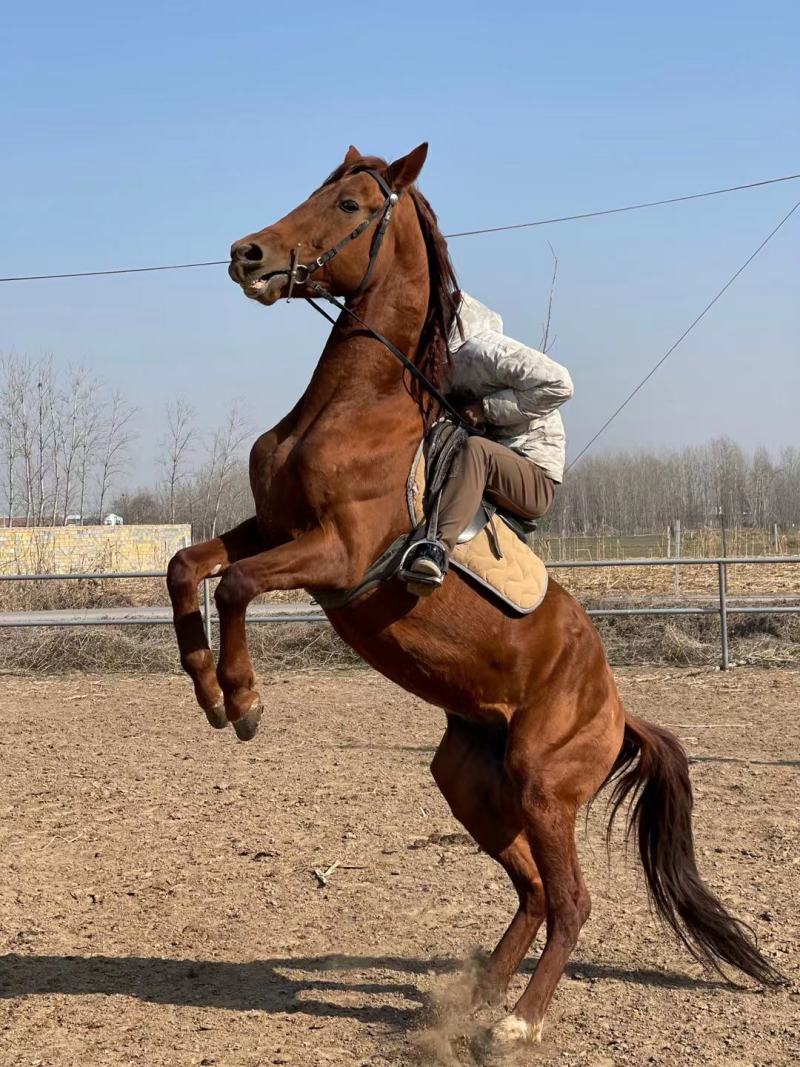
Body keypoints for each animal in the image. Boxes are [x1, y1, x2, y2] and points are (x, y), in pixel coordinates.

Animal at [166, 143, 780, 1046]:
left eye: (350, 206)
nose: (248, 254)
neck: (357, 401)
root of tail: (617, 709)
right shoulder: (270, 525)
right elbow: (188, 565)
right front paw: (208, 688)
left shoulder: (335, 554)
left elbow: (237, 583)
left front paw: (242, 701)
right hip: (470, 780)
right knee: (532, 890)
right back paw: (472, 996)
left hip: (542, 783)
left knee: (570, 898)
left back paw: (516, 1023)